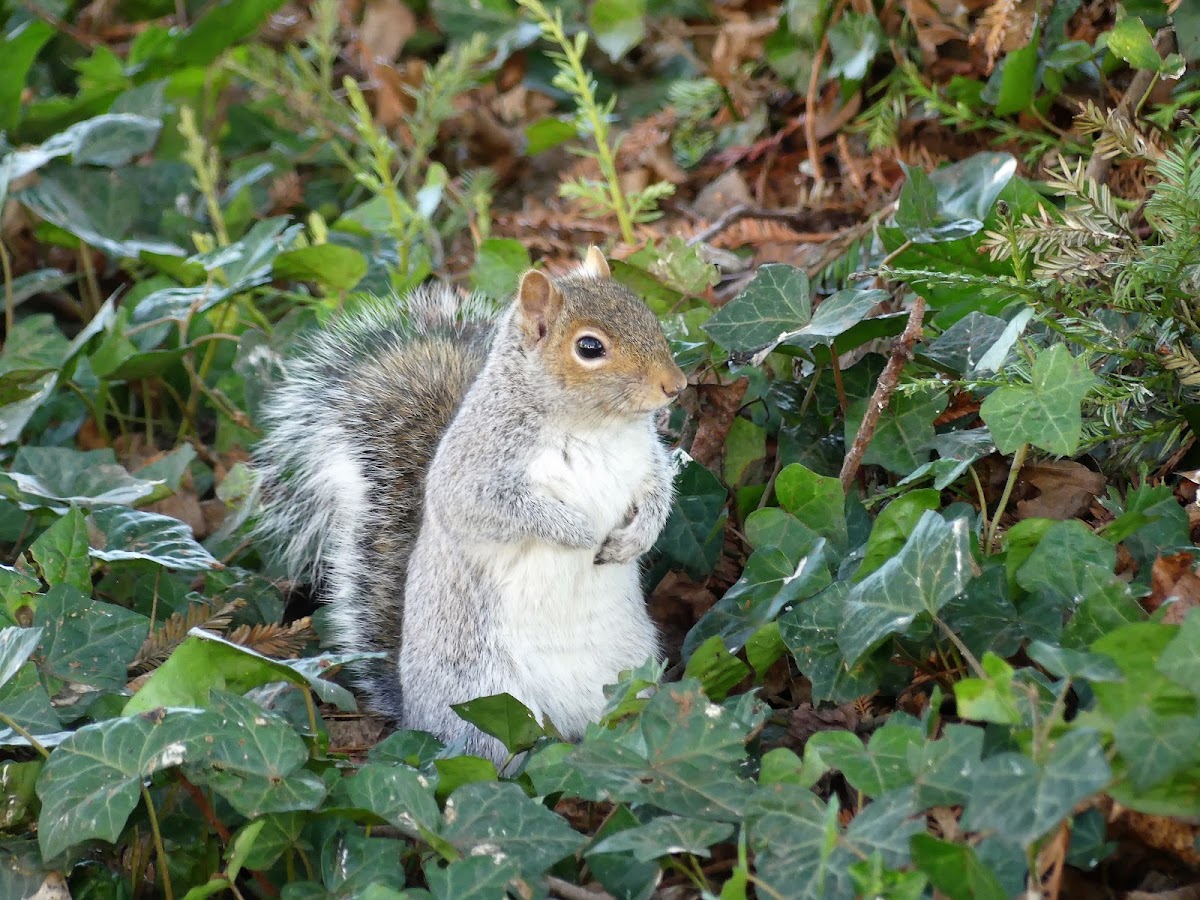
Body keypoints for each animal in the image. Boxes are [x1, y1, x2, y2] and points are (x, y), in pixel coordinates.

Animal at [253, 247, 686, 763]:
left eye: (647, 314)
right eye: (589, 348)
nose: (676, 384)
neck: (594, 427)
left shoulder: (647, 462)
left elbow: (658, 493)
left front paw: (636, 538)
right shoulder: (474, 476)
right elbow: (496, 511)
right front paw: (578, 533)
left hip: (630, 679)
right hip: (484, 698)